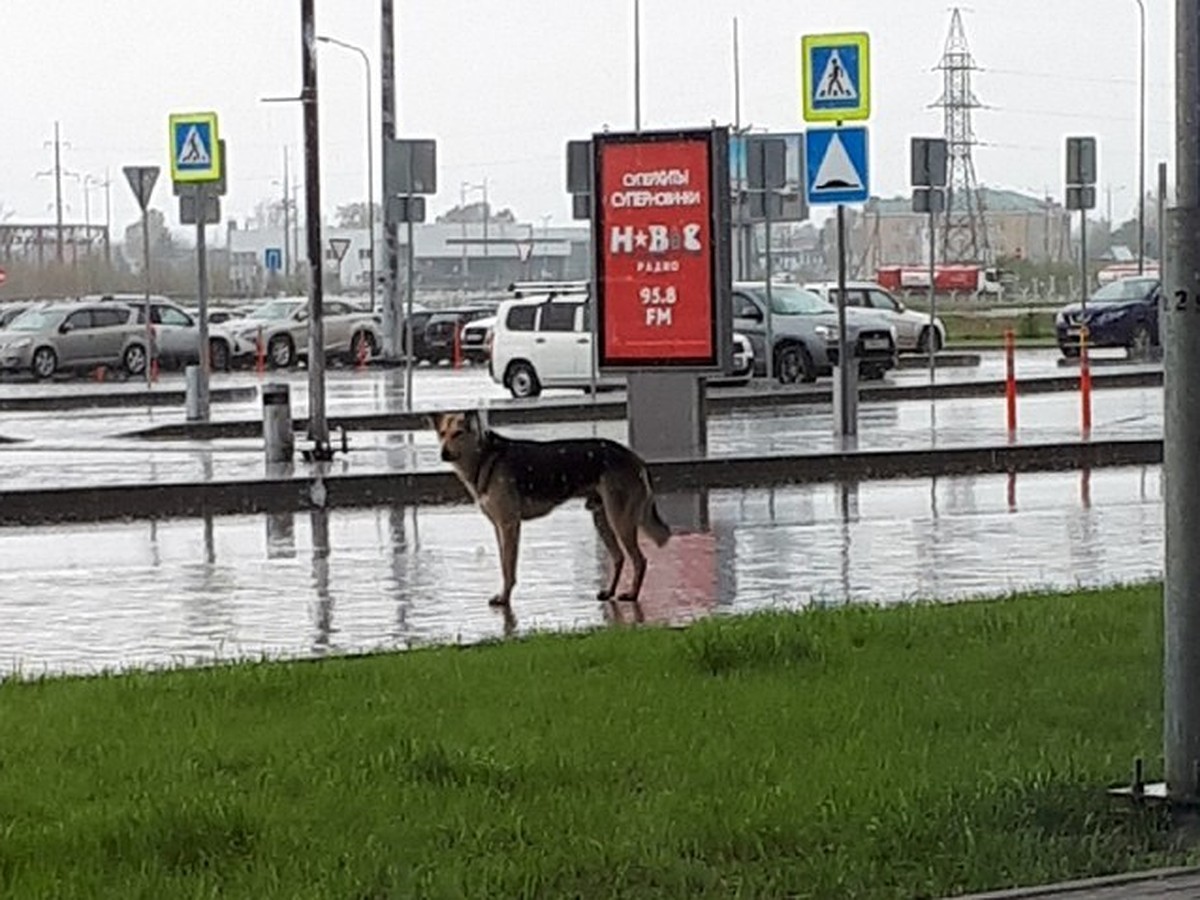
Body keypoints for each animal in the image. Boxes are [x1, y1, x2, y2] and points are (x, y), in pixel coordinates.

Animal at [434, 412, 676, 609]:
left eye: (458, 433)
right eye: (442, 434)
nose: (443, 453)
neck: (484, 458)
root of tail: (637, 459)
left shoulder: (509, 525)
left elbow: (508, 567)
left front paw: (505, 598)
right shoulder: (499, 528)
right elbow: (504, 564)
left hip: (620, 521)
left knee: (639, 560)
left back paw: (632, 594)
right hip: (602, 519)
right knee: (619, 557)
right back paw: (609, 592)